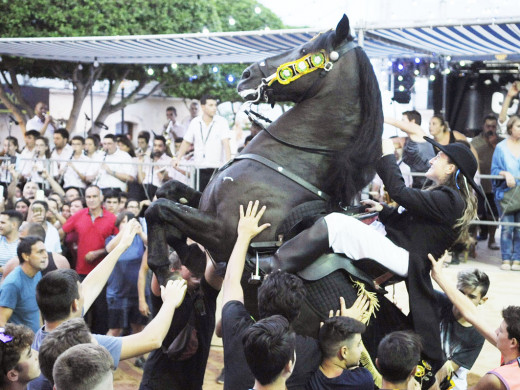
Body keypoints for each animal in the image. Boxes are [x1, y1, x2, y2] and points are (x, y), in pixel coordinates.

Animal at [146, 13, 410, 356]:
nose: (245, 75)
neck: (289, 161)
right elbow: (167, 194)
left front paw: (165, 273)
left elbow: (158, 209)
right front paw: (185, 254)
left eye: (304, 48)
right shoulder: (205, 206)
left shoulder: (223, 233)